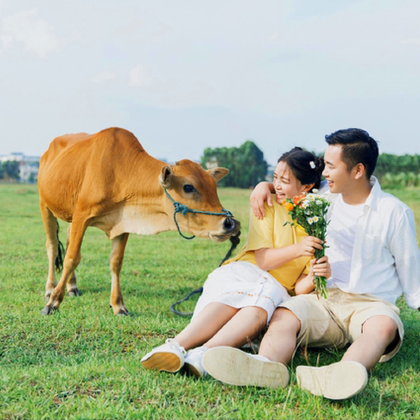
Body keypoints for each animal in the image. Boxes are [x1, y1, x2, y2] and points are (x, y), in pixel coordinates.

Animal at [38, 128, 240, 316]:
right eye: (188, 187)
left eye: (214, 186)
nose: (230, 223)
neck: (120, 173)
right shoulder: (82, 215)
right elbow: (72, 258)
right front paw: (53, 303)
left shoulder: (122, 223)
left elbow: (116, 263)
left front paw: (118, 305)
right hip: (45, 205)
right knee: (52, 246)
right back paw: (49, 289)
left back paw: (72, 286)